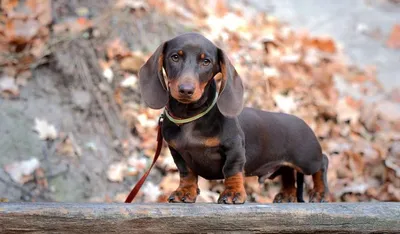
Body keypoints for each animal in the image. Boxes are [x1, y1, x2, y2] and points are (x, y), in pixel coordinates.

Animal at [138, 32, 328, 203]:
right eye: (175, 57)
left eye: (206, 61)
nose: (186, 90)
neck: (190, 117)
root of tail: (303, 122)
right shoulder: (177, 152)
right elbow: (187, 173)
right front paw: (185, 191)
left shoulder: (234, 147)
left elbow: (232, 170)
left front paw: (233, 193)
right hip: (286, 166)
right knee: (288, 174)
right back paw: (287, 195)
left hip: (306, 159)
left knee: (322, 162)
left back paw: (319, 193)